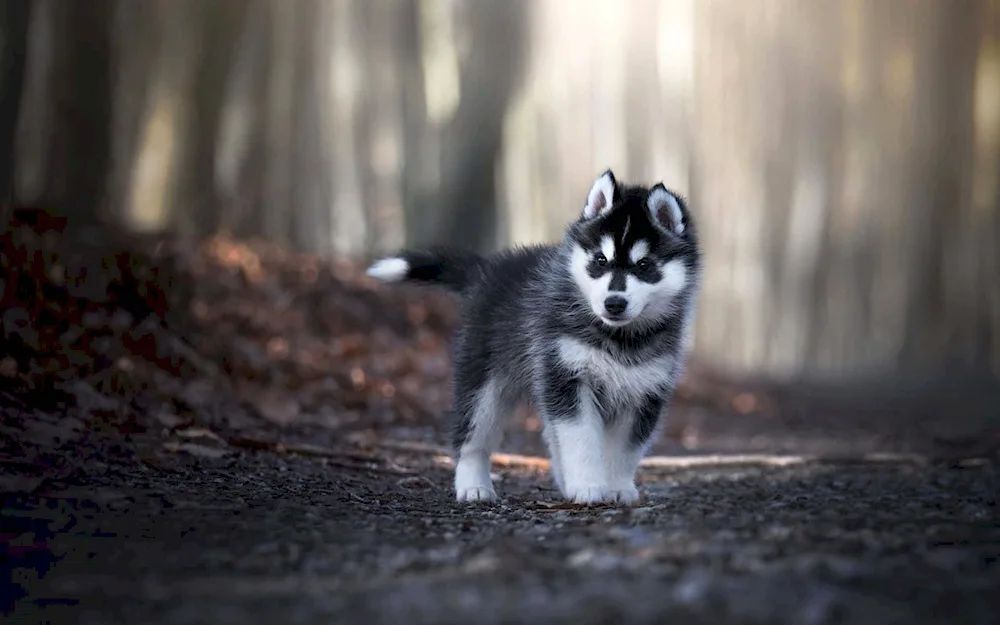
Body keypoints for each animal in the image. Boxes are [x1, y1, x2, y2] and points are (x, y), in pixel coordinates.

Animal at [368, 169, 704, 502]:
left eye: (644, 265)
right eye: (600, 261)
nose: (614, 302)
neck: (619, 339)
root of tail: (490, 269)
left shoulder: (646, 392)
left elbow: (625, 451)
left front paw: (617, 487)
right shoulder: (568, 377)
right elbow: (581, 440)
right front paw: (587, 487)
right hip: (484, 385)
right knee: (472, 436)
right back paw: (473, 485)